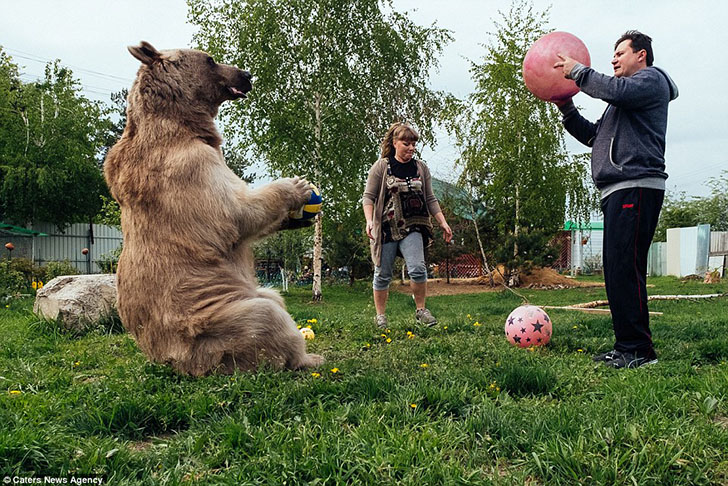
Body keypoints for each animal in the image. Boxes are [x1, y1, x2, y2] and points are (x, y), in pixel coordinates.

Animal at [103, 41, 324, 376]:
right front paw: (295, 187)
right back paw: (307, 357)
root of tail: (173, 361)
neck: (182, 124)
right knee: (267, 317)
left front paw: (296, 219)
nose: (247, 74)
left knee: (272, 295)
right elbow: (234, 213)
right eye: (210, 59)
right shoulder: (189, 168)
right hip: (214, 325)